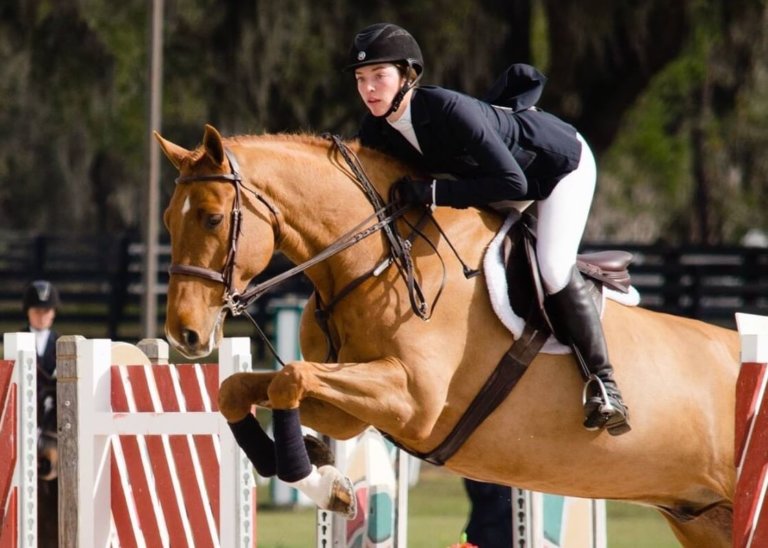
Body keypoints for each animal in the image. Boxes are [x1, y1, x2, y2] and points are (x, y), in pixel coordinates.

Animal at [154, 126, 736, 544]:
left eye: (211, 218)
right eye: (166, 221)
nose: (185, 335)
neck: (377, 260)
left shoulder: (413, 400)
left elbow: (288, 378)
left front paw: (316, 477)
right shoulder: (348, 409)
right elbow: (246, 388)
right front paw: (328, 479)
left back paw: (606, 399)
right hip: (702, 518)